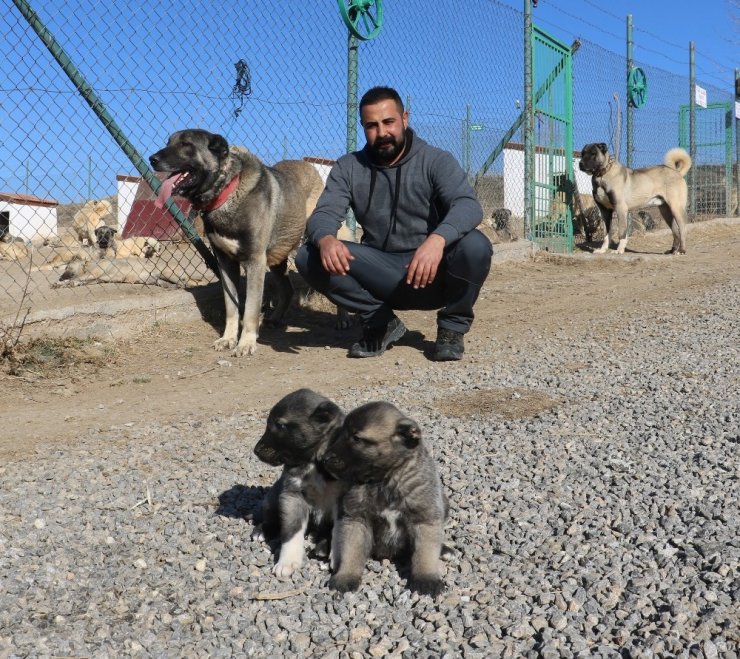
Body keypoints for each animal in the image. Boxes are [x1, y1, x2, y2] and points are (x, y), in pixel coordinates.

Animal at [253, 390, 346, 580]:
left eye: (280, 425)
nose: (256, 451)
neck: (314, 462)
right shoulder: (292, 496)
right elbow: (291, 531)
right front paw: (287, 561)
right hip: (272, 497)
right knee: (270, 517)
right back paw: (262, 530)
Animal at [320, 402, 448, 600]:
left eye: (356, 438)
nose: (325, 459)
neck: (384, 480)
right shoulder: (355, 519)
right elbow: (351, 550)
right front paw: (346, 576)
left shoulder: (425, 518)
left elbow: (425, 552)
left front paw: (426, 578)